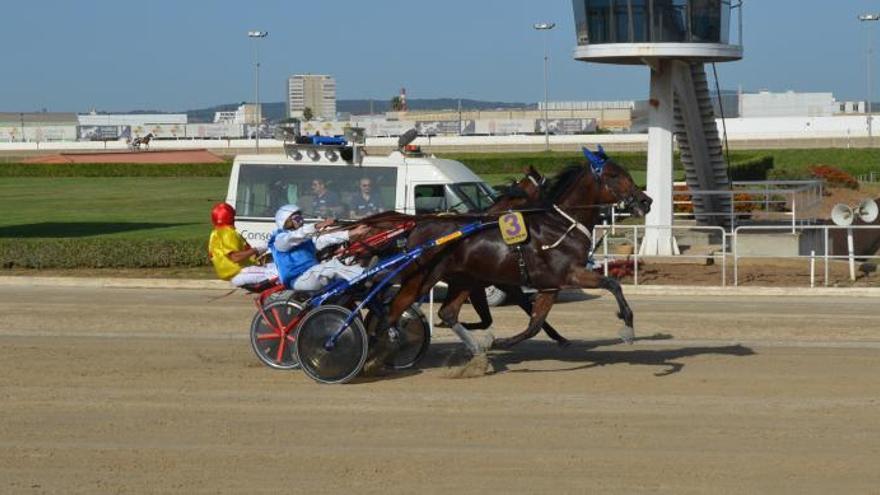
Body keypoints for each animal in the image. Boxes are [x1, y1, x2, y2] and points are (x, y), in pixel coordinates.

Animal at [384, 155, 648, 360]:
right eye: (614, 175)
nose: (646, 201)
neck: (561, 227)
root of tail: (416, 227)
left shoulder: (549, 285)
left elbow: (535, 323)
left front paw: (499, 342)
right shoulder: (568, 274)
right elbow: (611, 283)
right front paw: (627, 325)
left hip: (462, 280)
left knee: (446, 312)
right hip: (421, 278)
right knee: (394, 309)